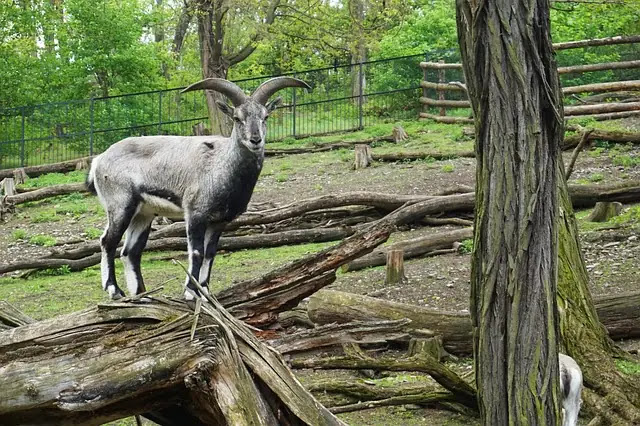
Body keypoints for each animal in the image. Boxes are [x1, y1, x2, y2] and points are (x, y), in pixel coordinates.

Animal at [87, 75, 312, 300]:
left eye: (265, 116)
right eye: (237, 118)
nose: (255, 140)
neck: (221, 165)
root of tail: (99, 160)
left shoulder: (218, 221)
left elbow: (210, 253)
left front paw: (204, 292)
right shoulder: (196, 213)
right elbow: (197, 252)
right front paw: (190, 292)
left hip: (144, 213)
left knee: (130, 252)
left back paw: (142, 294)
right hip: (121, 205)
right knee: (108, 241)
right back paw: (114, 290)